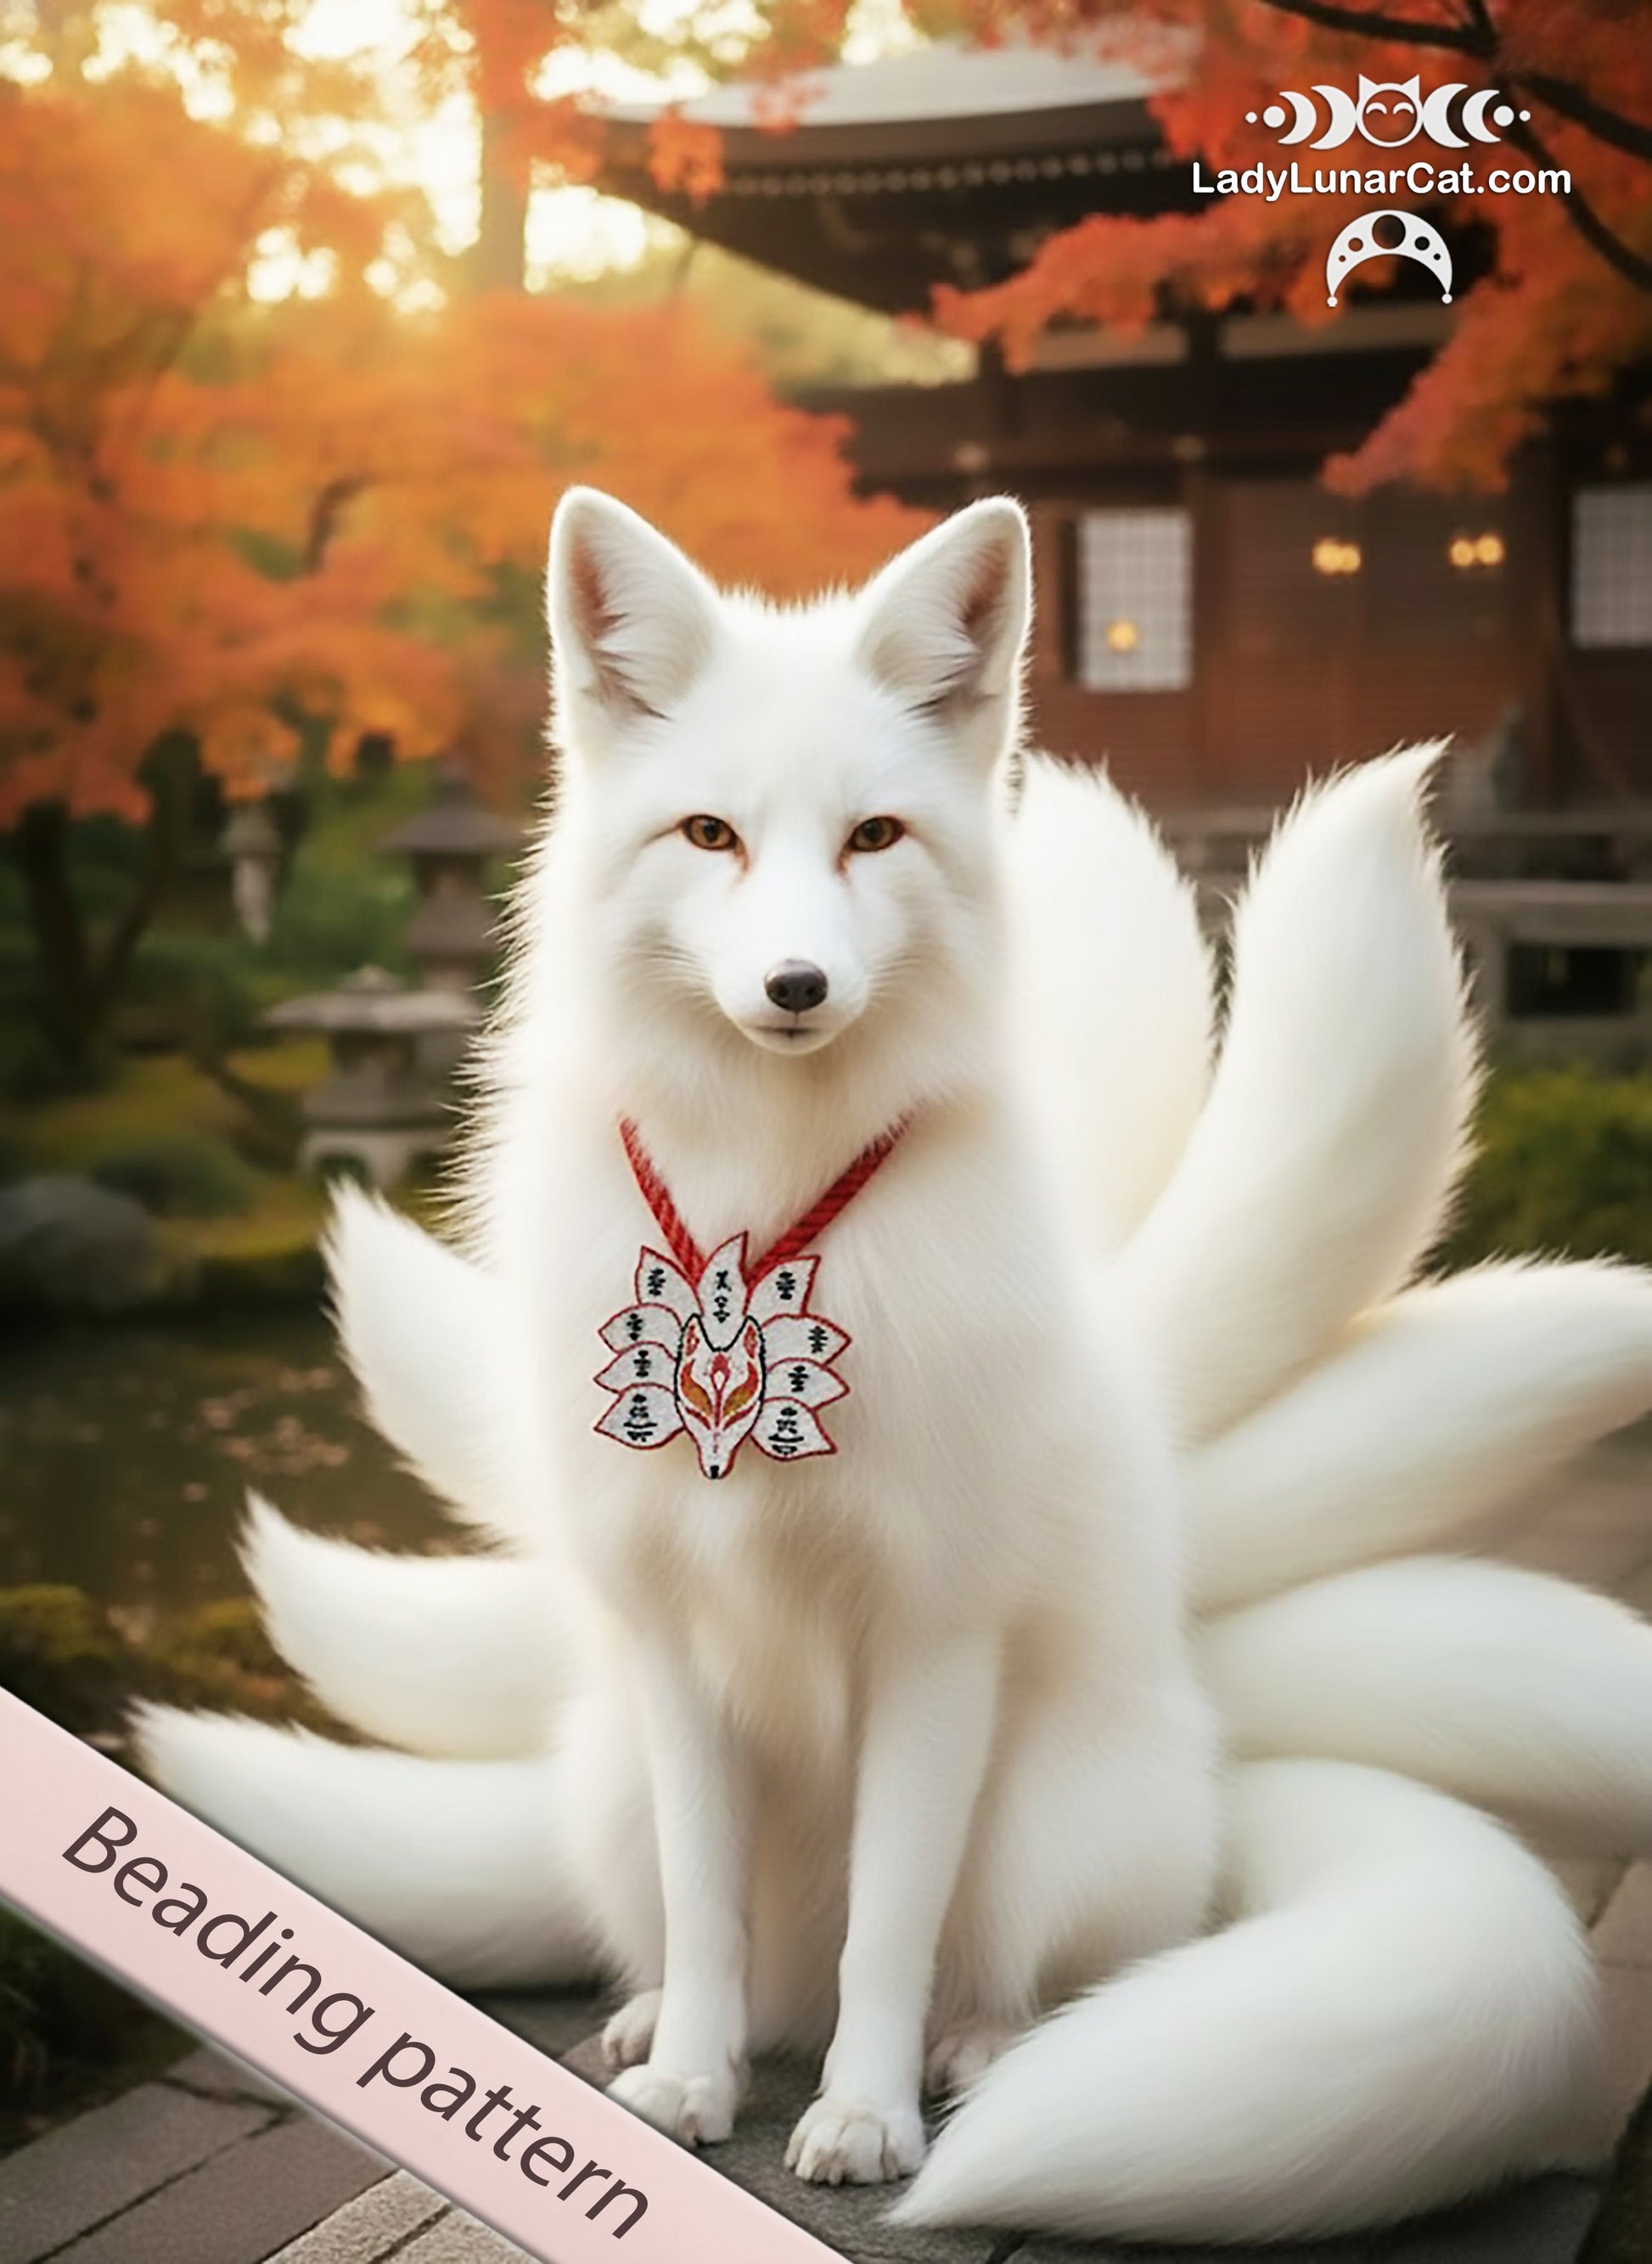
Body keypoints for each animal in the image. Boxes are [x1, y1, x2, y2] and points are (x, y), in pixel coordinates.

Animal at [140, 491, 1652, 2245]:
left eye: (874, 838)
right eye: (709, 836)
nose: (796, 987)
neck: (758, 1218)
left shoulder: (932, 1641)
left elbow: (892, 1924)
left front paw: (862, 2116)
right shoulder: (677, 1647)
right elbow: (707, 1913)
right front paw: (696, 2083)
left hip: (1050, 1819)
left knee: (1026, 1966)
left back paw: (971, 2049)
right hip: (612, 1780)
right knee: (716, 1943)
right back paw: (665, 2024)